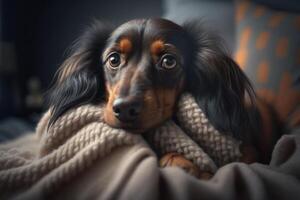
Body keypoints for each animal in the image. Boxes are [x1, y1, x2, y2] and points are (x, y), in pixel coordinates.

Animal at [47, 18, 282, 175]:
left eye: (169, 61)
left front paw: (179, 161)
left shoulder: (249, 156)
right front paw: (178, 161)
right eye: (113, 59)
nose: (125, 109)